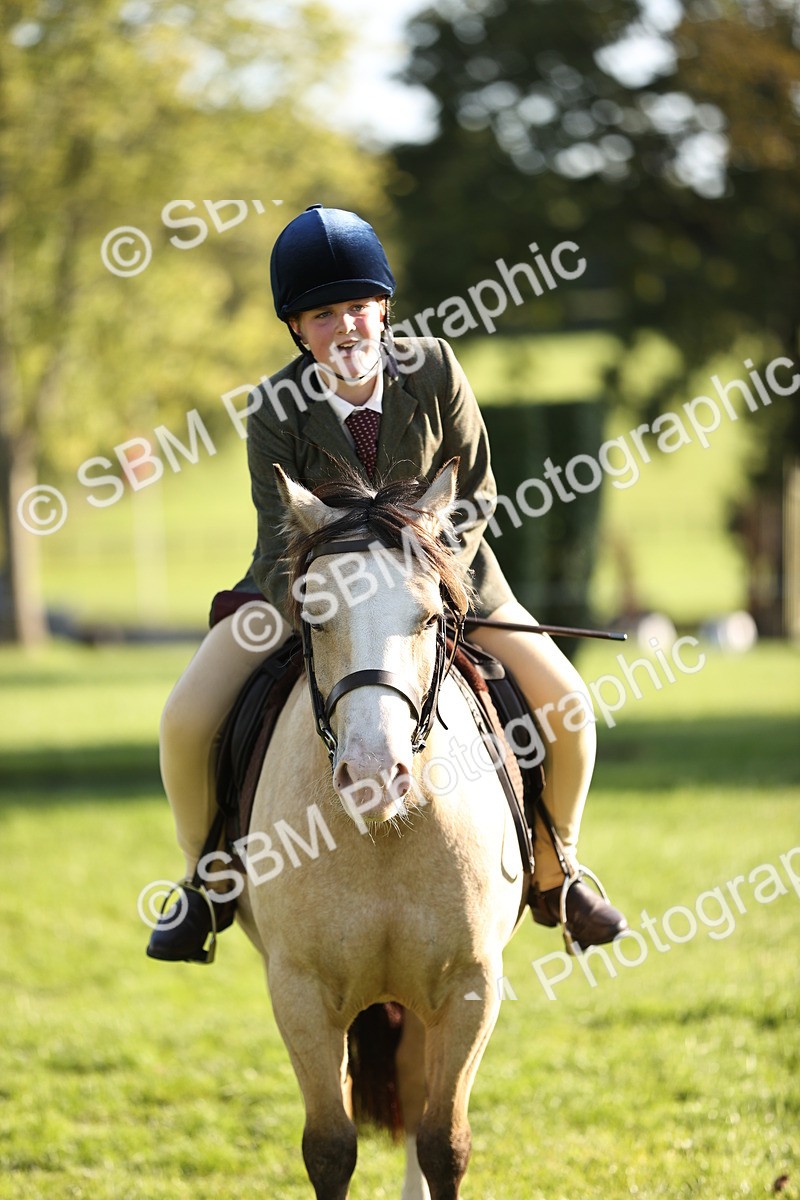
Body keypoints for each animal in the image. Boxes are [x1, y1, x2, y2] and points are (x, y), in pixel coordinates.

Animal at [234, 460, 529, 1200]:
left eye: (429, 619)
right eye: (314, 615)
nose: (373, 775)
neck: (385, 838)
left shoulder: (469, 986)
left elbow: (444, 1143)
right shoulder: (300, 991)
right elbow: (329, 1148)